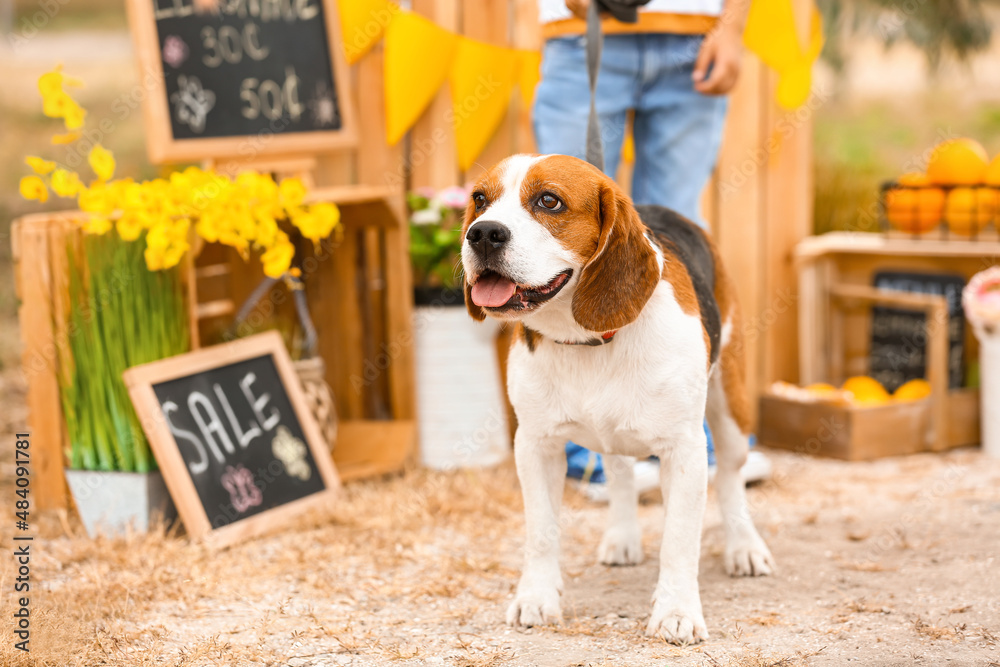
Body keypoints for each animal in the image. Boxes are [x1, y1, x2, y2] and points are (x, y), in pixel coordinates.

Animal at [460, 154, 772, 644]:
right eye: (479, 199)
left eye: (549, 201)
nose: (482, 233)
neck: (588, 339)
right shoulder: (535, 446)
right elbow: (541, 532)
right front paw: (537, 597)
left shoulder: (684, 451)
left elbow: (679, 539)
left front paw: (676, 611)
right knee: (622, 475)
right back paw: (623, 537)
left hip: (730, 411)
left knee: (730, 479)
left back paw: (744, 546)